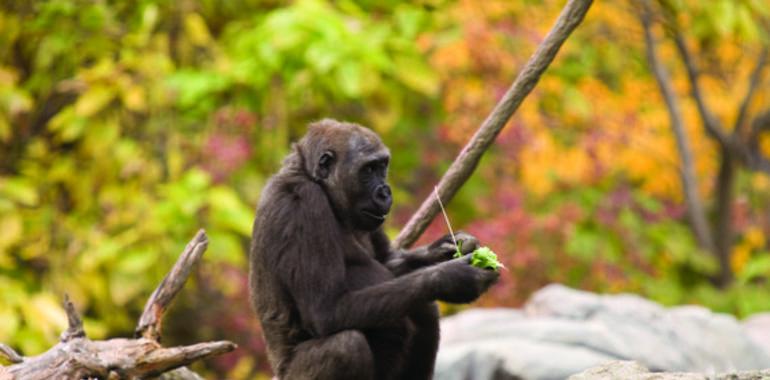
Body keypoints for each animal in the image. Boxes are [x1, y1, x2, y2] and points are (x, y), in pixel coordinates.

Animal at [248, 119, 498, 380]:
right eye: (368, 169)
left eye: (382, 166)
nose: (385, 192)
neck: (310, 177)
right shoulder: (303, 202)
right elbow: (324, 311)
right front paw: (452, 277)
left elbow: (389, 263)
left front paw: (448, 248)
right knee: (345, 346)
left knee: (422, 307)